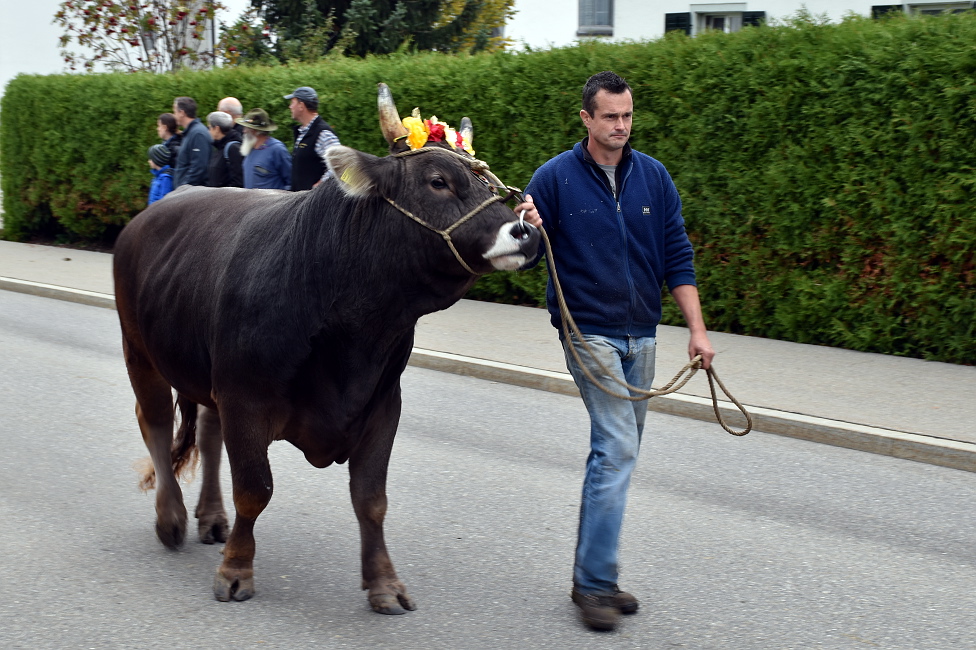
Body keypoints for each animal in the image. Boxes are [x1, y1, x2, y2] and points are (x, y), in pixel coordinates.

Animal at [116, 83, 540, 612]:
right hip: (140, 352)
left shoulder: (382, 404)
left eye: (487, 181)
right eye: (438, 181)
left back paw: (211, 517)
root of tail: (162, 203)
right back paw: (170, 518)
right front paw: (236, 570)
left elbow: (371, 500)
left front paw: (384, 583)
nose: (524, 231)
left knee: (208, 434)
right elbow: (255, 491)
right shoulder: (244, 397)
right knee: (153, 423)